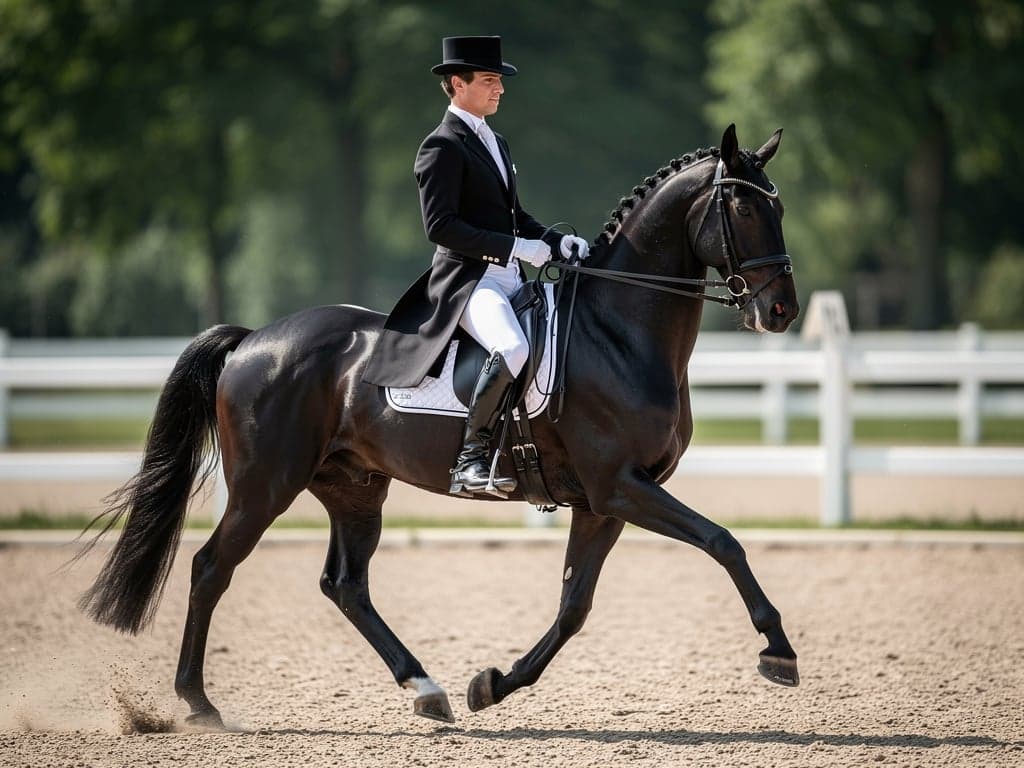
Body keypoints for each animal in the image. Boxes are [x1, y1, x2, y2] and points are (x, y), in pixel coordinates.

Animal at [78, 124, 800, 729]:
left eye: (780, 208)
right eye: (743, 210)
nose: (781, 311)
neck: (619, 333)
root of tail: (256, 339)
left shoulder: (604, 502)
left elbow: (574, 607)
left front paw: (493, 684)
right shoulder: (620, 486)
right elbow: (723, 542)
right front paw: (778, 650)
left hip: (354, 487)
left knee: (346, 585)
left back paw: (426, 689)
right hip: (265, 485)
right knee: (210, 568)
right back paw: (198, 702)